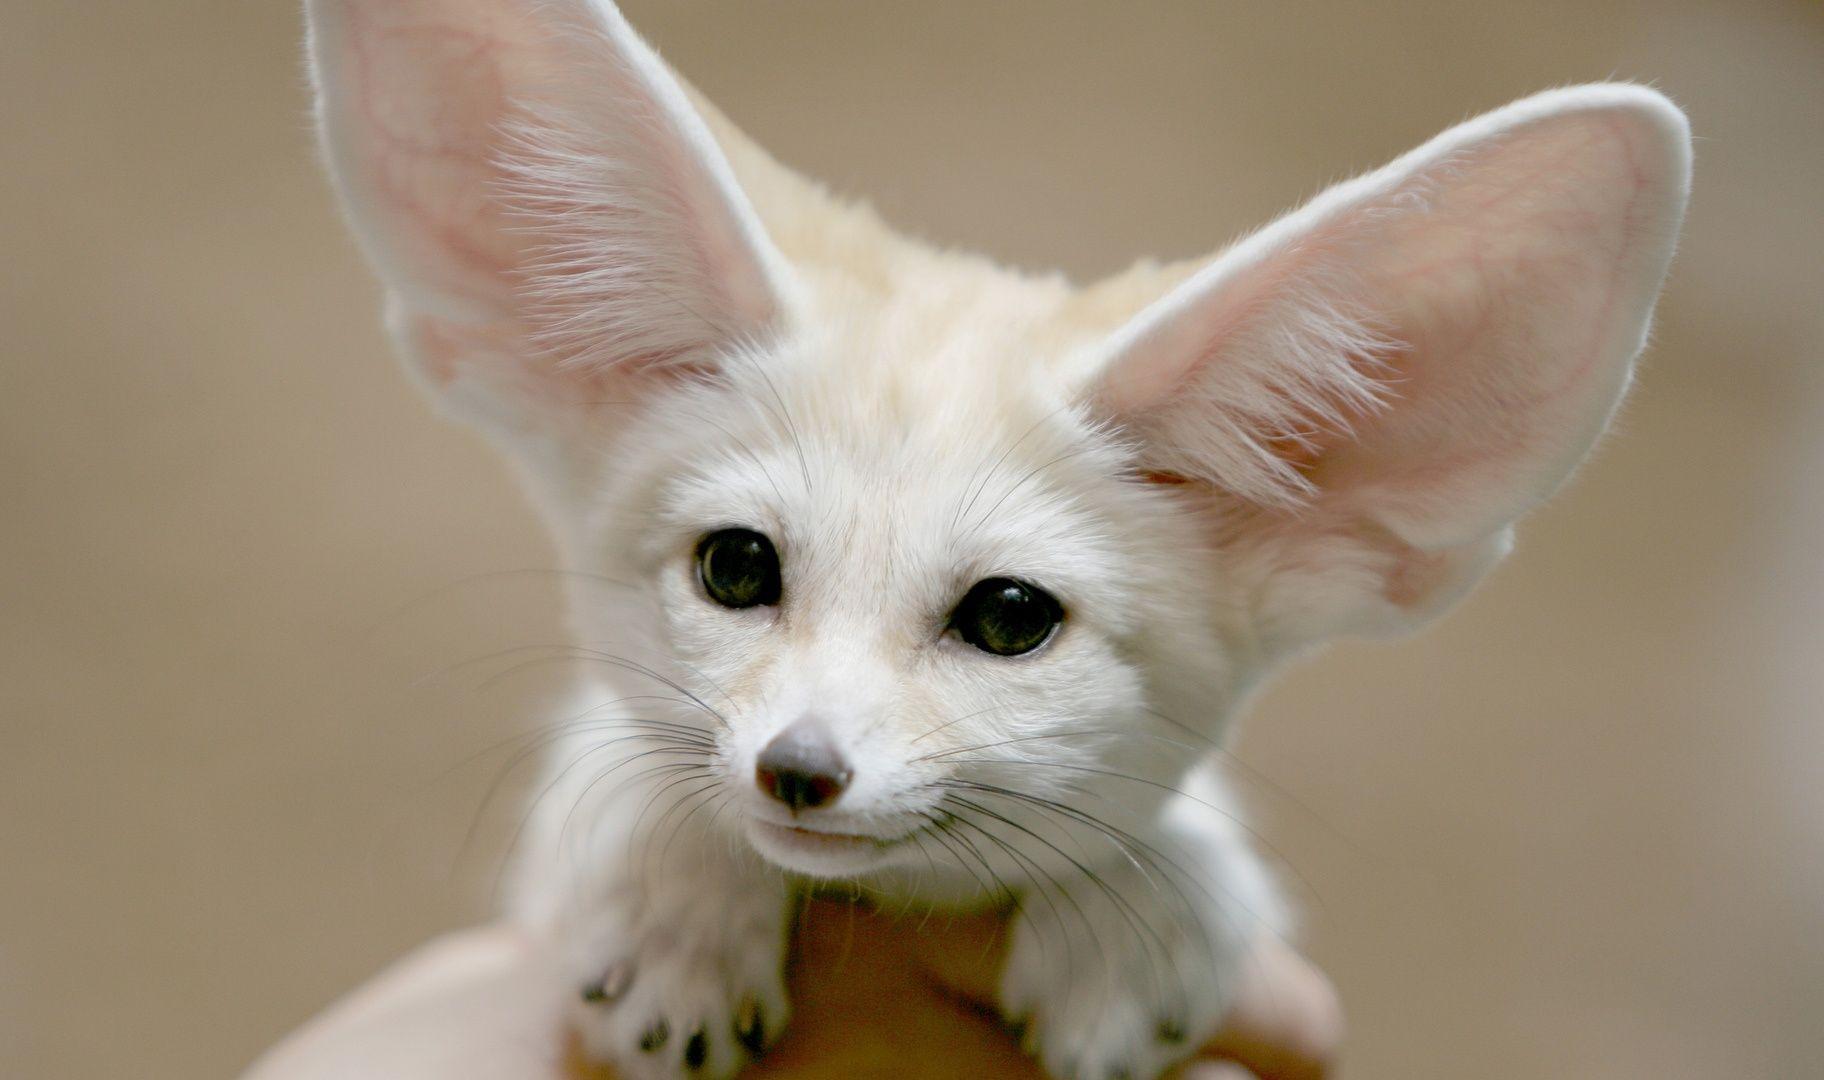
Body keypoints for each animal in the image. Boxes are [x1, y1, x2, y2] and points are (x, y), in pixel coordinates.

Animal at [304, 2, 1691, 1077]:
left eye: (1011, 618)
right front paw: (676, 905)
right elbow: (627, 759)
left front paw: (1144, 906)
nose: (797, 771)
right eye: (737, 567)